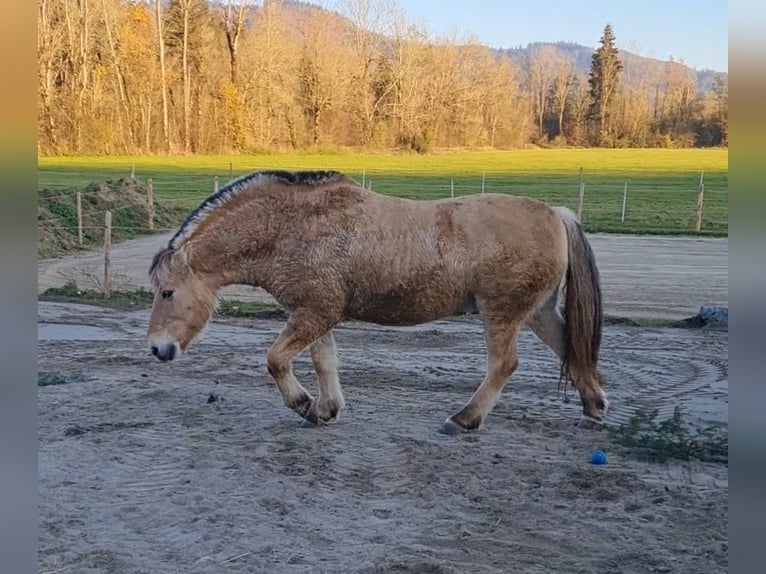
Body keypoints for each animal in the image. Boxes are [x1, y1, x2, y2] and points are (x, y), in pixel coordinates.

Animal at [147, 171, 608, 436]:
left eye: (168, 292)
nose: (157, 349)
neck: (291, 228)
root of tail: (556, 214)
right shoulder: (314, 312)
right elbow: (324, 362)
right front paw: (326, 409)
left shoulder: (314, 312)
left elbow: (276, 360)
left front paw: (304, 405)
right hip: (538, 313)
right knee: (572, 350)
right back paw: (593, 409)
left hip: (502, 312)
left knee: (504, 365)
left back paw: (464, 419)